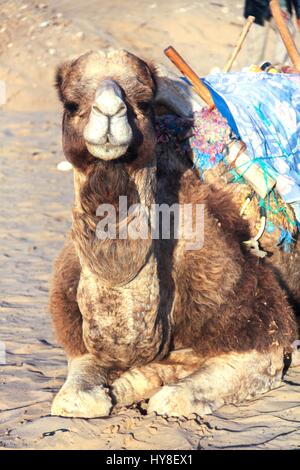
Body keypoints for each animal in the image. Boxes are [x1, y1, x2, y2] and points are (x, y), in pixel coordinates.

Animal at [49, 50, 298, 418]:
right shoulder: (78, 338)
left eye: (142, 102)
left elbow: (171, 398)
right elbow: (75, 399)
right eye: (70, 102)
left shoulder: (262, 329)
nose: (110, 110)